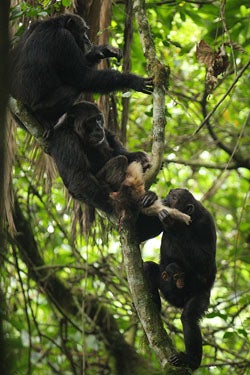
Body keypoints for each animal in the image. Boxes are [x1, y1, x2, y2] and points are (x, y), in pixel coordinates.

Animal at [9, 13, 153, 129]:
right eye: (83, 30)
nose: (87, 39)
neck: (56, 24)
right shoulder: (64, 39)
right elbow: (82, 76)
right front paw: (134, 80)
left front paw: (103, 50)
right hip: (37, 106)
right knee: (72, 89)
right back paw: (42, 118)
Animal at [142, 189, 216, 372]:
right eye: (170, 194)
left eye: (174, 198)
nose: (166, 199)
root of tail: (177, 301)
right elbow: (142, 232)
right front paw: (151, 196)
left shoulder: (206, 223)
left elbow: (206, 260)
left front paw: (172, 223)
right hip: (165, 287)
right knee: (148, 268)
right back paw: (154, 306)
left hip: (200, 295)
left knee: (188, 318)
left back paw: (191, 361)